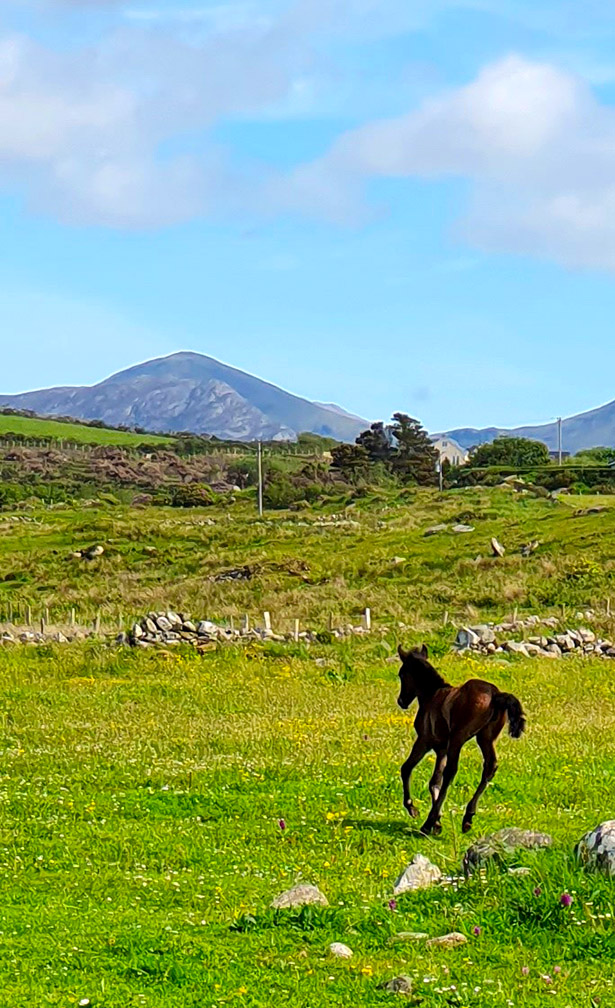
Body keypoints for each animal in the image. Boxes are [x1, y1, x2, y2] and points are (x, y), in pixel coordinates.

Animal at [396, 644, 525, 835]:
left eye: (401, 674)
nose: (401, 701)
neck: (431, 695)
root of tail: (496, 694)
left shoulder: (424, 741)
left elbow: (407, 769)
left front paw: (414, 810)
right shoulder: (441, 748)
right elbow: (434, 781)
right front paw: (438, 822)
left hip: (459, 738)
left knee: (451, 771)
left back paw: (428, 823)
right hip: (485, 738)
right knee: (489, 767)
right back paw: (467, 818)